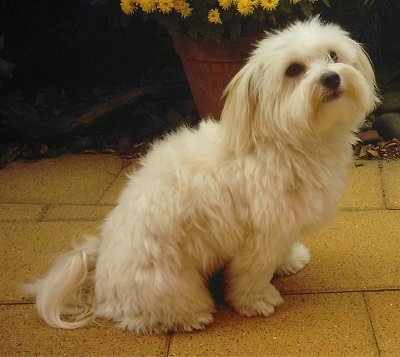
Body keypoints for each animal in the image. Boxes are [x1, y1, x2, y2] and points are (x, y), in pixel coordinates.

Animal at [24, 18, 378, 332]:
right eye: (293, 70)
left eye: (333, 55)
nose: (332, 78)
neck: (284, 141)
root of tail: (99, 268)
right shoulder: (259, 237)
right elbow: (251, 274)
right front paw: (256, 300)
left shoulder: (282, 227)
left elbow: (281, 252)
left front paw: (289, 260)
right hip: (170, 283)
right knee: (143, 317)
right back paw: (190, 318)